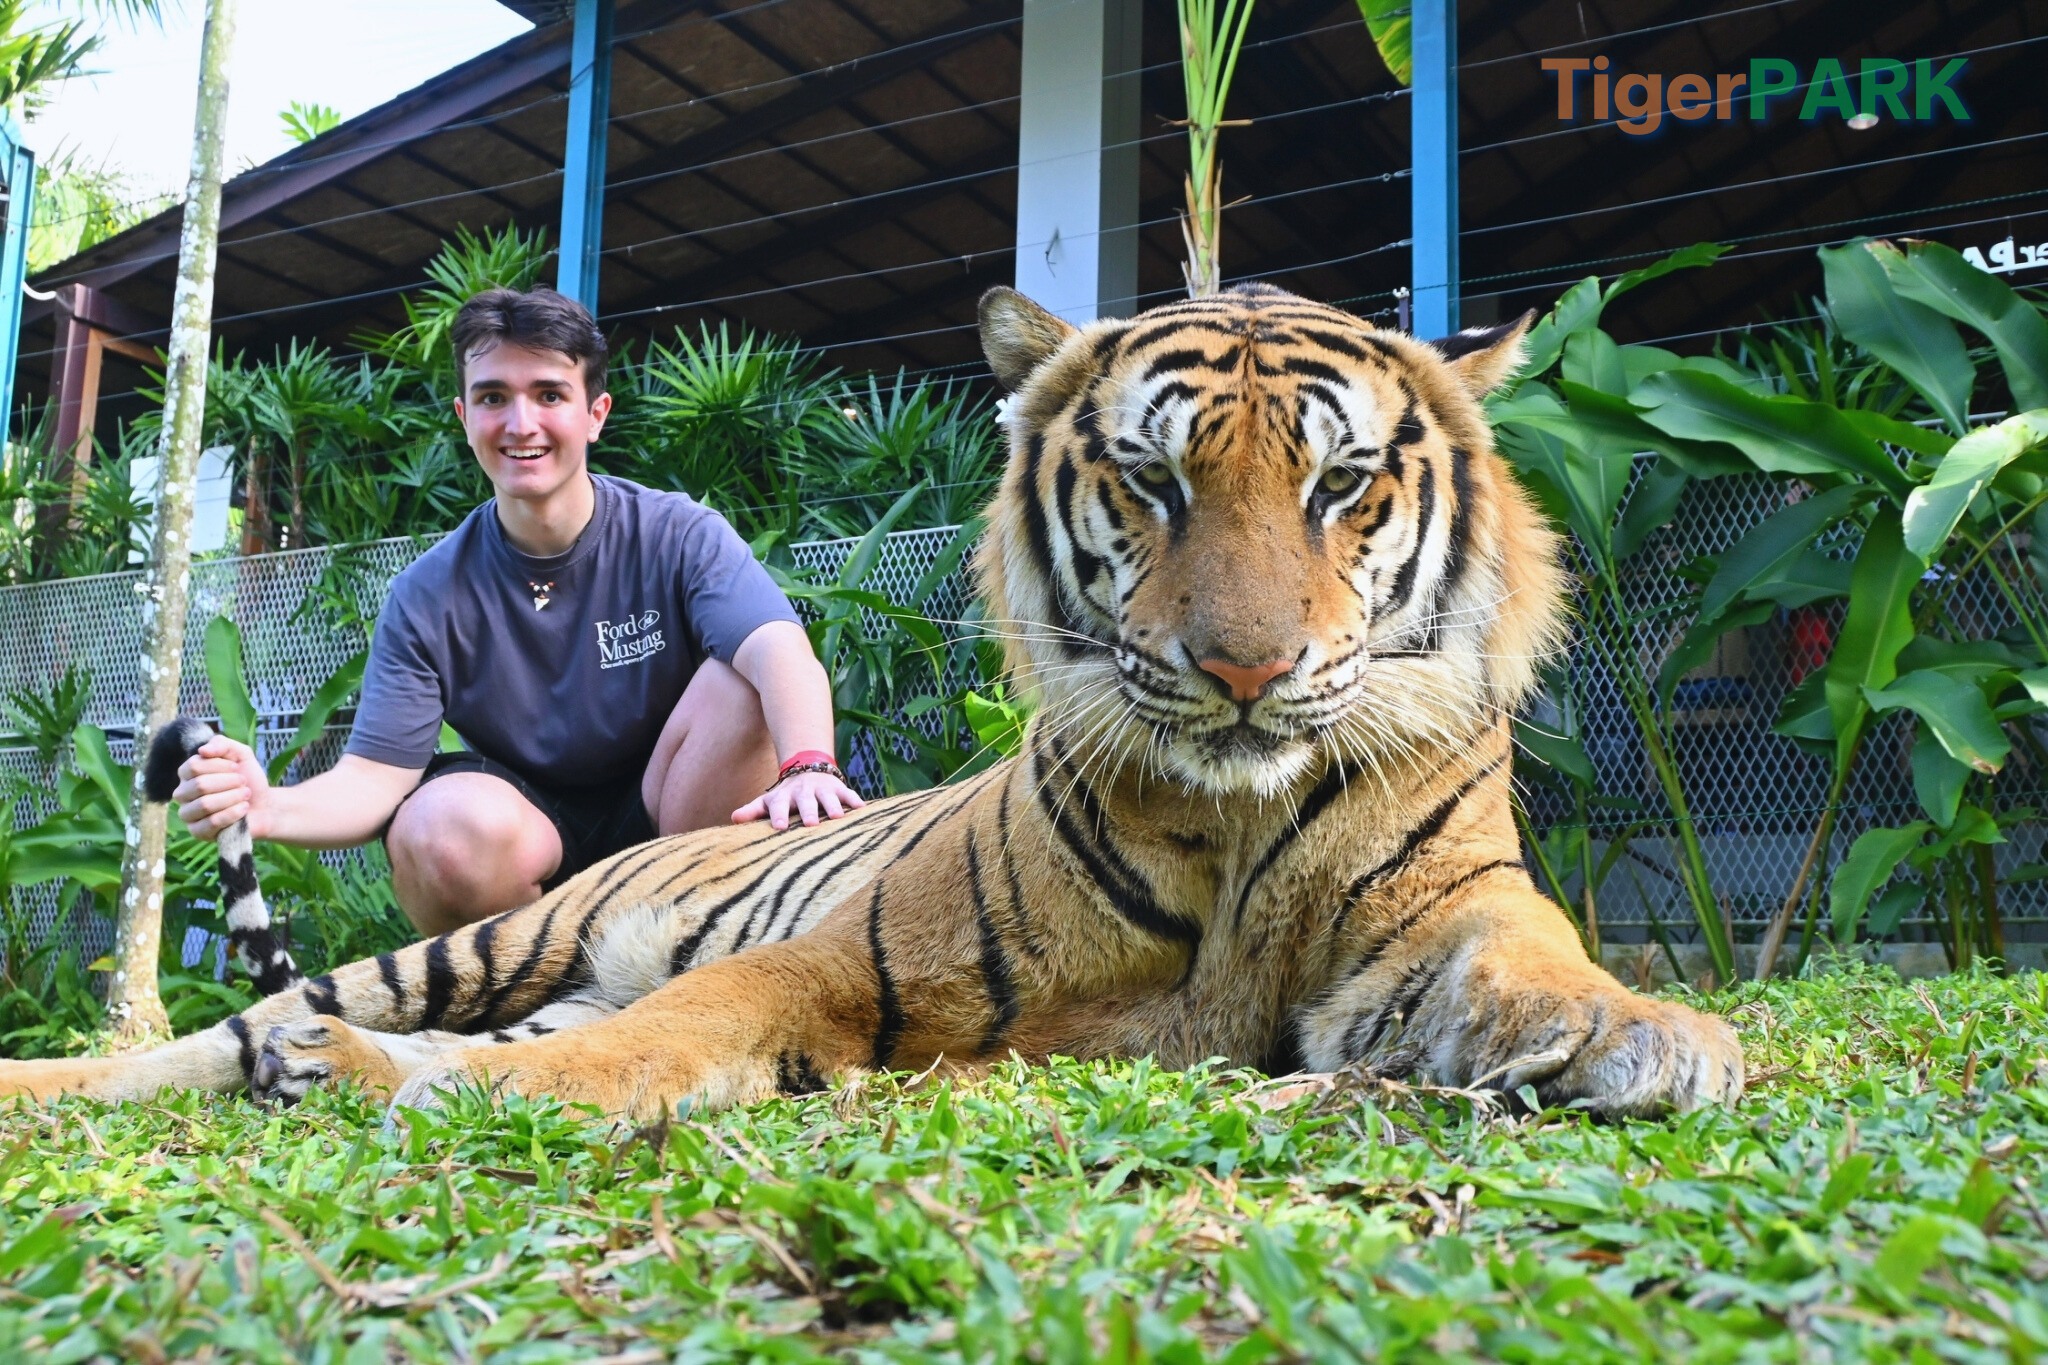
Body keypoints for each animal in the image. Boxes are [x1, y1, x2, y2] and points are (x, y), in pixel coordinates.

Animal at [0, 283, 1744, 1120]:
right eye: (1153, 477)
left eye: (1343, 483)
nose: (1245, 672)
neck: (1238, 829)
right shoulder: (862, 949)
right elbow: (699, 1013)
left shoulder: (1441, 909)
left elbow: (1535, 956)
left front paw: (1647, 1035)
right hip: (498, 939)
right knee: (236, 1034)